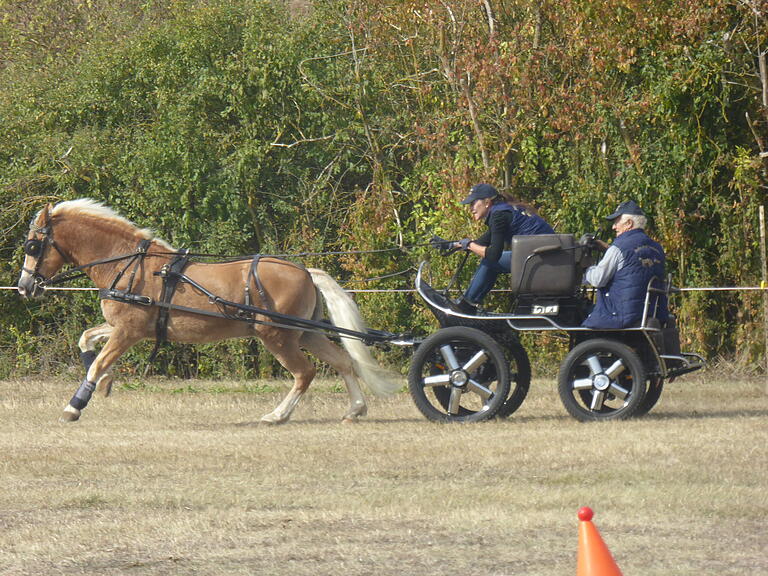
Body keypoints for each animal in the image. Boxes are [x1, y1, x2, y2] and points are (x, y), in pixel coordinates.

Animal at [16, 199, 402, 424]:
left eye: (33, 245)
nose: (24, 286)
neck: (128, 265)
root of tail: (306, 270)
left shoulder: (129, 331)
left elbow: (97, 361)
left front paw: (75, 405)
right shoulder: (127, 327)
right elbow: (87, 340)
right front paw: (106, 383)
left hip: (277, 336)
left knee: (304, 373)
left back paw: (276, 415)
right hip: (305, 332)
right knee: (343, 362)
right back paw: (354, 409)